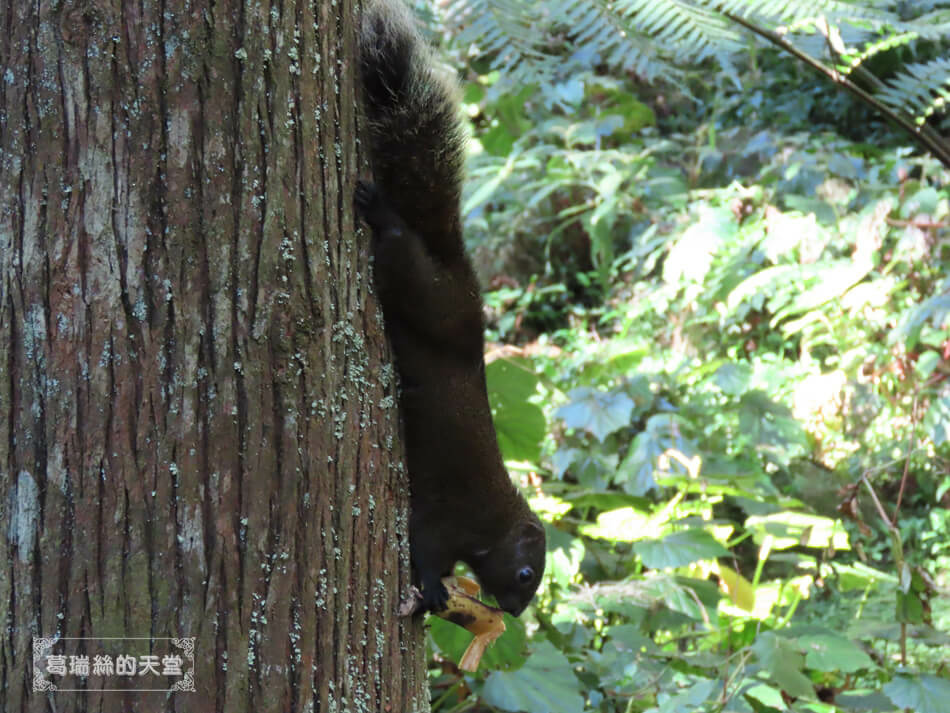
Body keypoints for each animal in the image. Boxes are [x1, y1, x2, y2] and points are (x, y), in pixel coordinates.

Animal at [356, 0, 548, 616]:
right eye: (526, 573)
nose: (512, 612)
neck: (492, 525)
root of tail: (461, 277)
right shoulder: (446, 518)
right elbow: (422, 545)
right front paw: (433, 586)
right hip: (422, 291)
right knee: (399, 247)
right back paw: (382, 212)